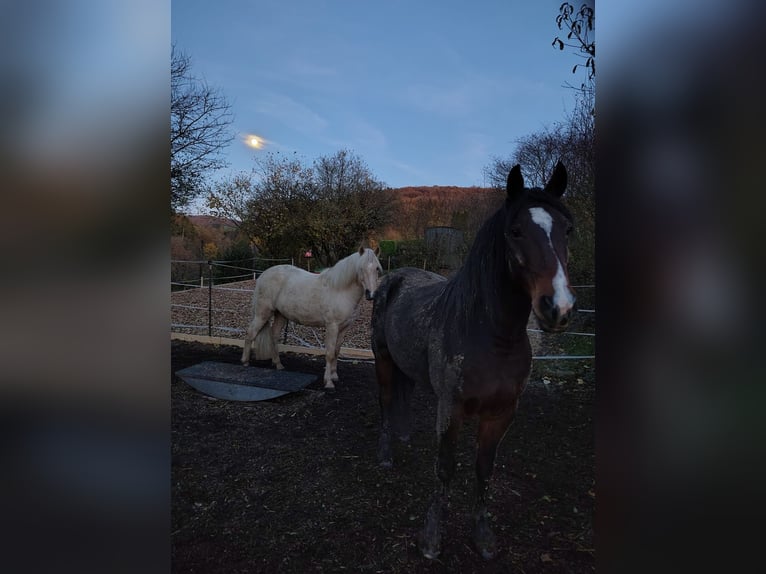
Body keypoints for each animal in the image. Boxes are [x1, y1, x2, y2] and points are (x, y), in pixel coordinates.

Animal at [241, 246, 382, 389]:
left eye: (377, 268)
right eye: (361, 268)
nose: (371, 294)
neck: (340, 291)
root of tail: (263, 275)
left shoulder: (344, 328)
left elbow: (336, 352)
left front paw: (334, 376)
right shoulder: (332, 326)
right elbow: (330, 353)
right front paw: (328, 382)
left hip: (280, 315)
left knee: (274, 336)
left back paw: (278, 364)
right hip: (262, 314)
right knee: (250, 334)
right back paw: (245, 362)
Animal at [371, 162, 575, 560]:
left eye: (568, 231)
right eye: (515, 231)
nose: (557, 308)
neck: (491, 336)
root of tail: (394, 276)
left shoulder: (502, 413)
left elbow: (484, 469)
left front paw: (482, 536)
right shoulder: (451, 409)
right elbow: (445, 469)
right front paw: (431, 539)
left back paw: (403, 435)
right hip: (383, 360)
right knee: (386, 402)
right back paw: (386, 453)